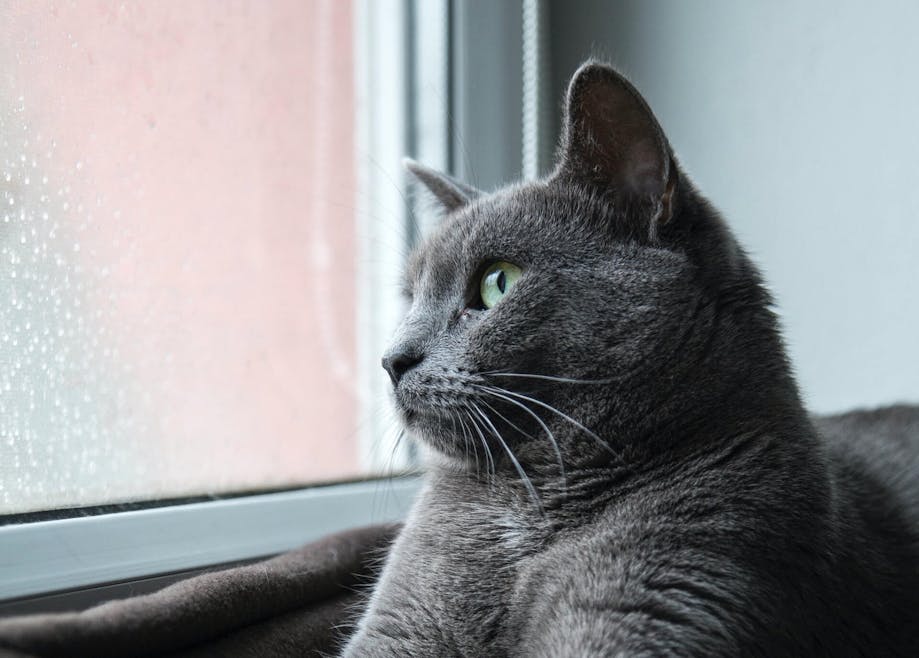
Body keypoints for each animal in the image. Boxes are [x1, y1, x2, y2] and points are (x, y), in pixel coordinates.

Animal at [344, 60, 919, 652]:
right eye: (411, 298)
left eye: (497, 282)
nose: (392, 359)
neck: (531, 499)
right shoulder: (404, 617)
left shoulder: (679, 574)